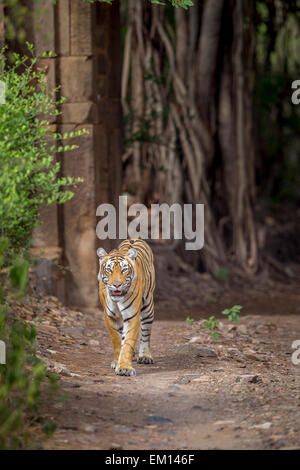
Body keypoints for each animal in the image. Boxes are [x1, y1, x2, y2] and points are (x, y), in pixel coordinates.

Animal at [98, 237, 156, 376]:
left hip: (148, 307)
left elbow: (128, 342)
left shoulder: (132, 315)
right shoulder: (110, 316)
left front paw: (124, 367)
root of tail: (134, 238)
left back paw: (145, 356)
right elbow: (117, 340)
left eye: (124, 270)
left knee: (145, 333)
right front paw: (117, 362)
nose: (117, 285)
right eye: (109, 270)